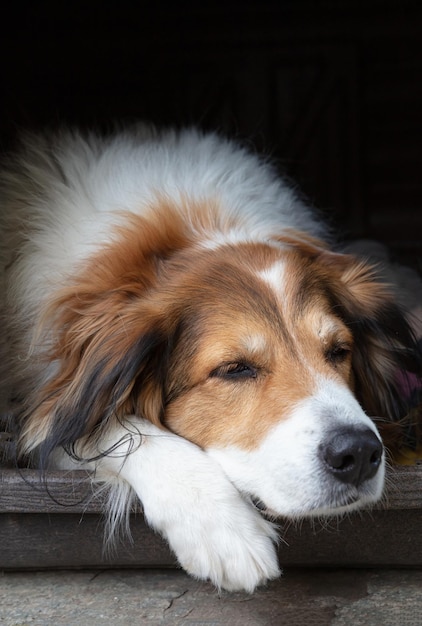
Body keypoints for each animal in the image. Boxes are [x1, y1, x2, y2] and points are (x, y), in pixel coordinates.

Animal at [0, 125, 420, 588]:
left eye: (339, 351)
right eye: (234, 369)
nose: (358, 453)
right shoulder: (48, 409)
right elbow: (117, 429)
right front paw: (221, 527)